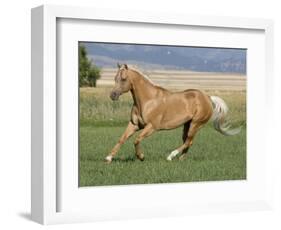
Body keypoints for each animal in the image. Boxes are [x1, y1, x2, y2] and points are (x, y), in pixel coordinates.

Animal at [104, 63, 240, 163]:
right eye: (115, 78)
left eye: (123, 79)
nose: (113, 95)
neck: (148, 100)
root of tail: (207, 97)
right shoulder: (134, 125)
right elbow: (122, 139)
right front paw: (109, 158)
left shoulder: (151, 127)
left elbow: (136, 140)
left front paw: (141, 157)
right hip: (187, 124)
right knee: (188, 141)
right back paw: (181, 159)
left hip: (196, 124)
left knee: (188, 141)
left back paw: (171, 156)